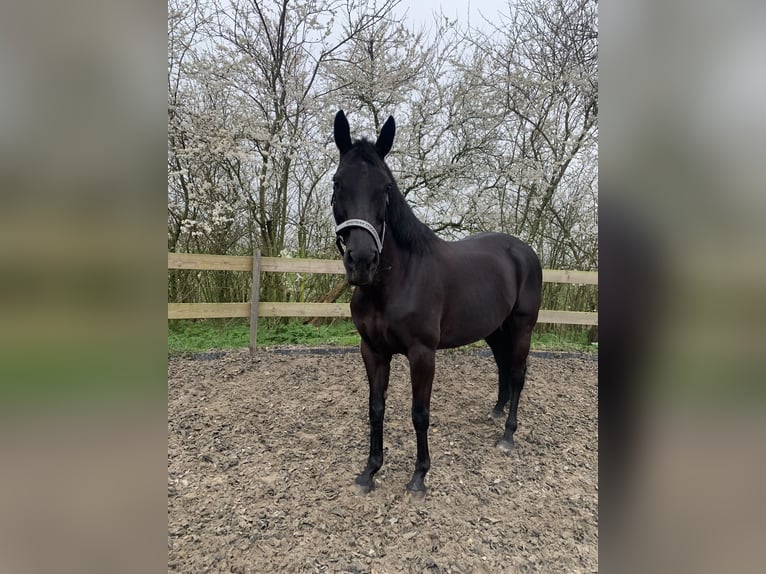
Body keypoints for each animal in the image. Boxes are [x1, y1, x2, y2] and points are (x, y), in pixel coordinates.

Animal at [332, 110, 544, 498]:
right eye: (338, 183)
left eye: (386, 188)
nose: (362, 261)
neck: (395, 282)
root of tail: (524, 250)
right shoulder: (372, 350)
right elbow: (375, 408)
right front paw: (370, 471)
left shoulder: (422, 353)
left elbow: (420, 413)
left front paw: (419, 476)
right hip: (495, 329)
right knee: (503, 366)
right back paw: (496, 411)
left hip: (523, 326)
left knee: (518, 374)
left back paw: (507, 435)